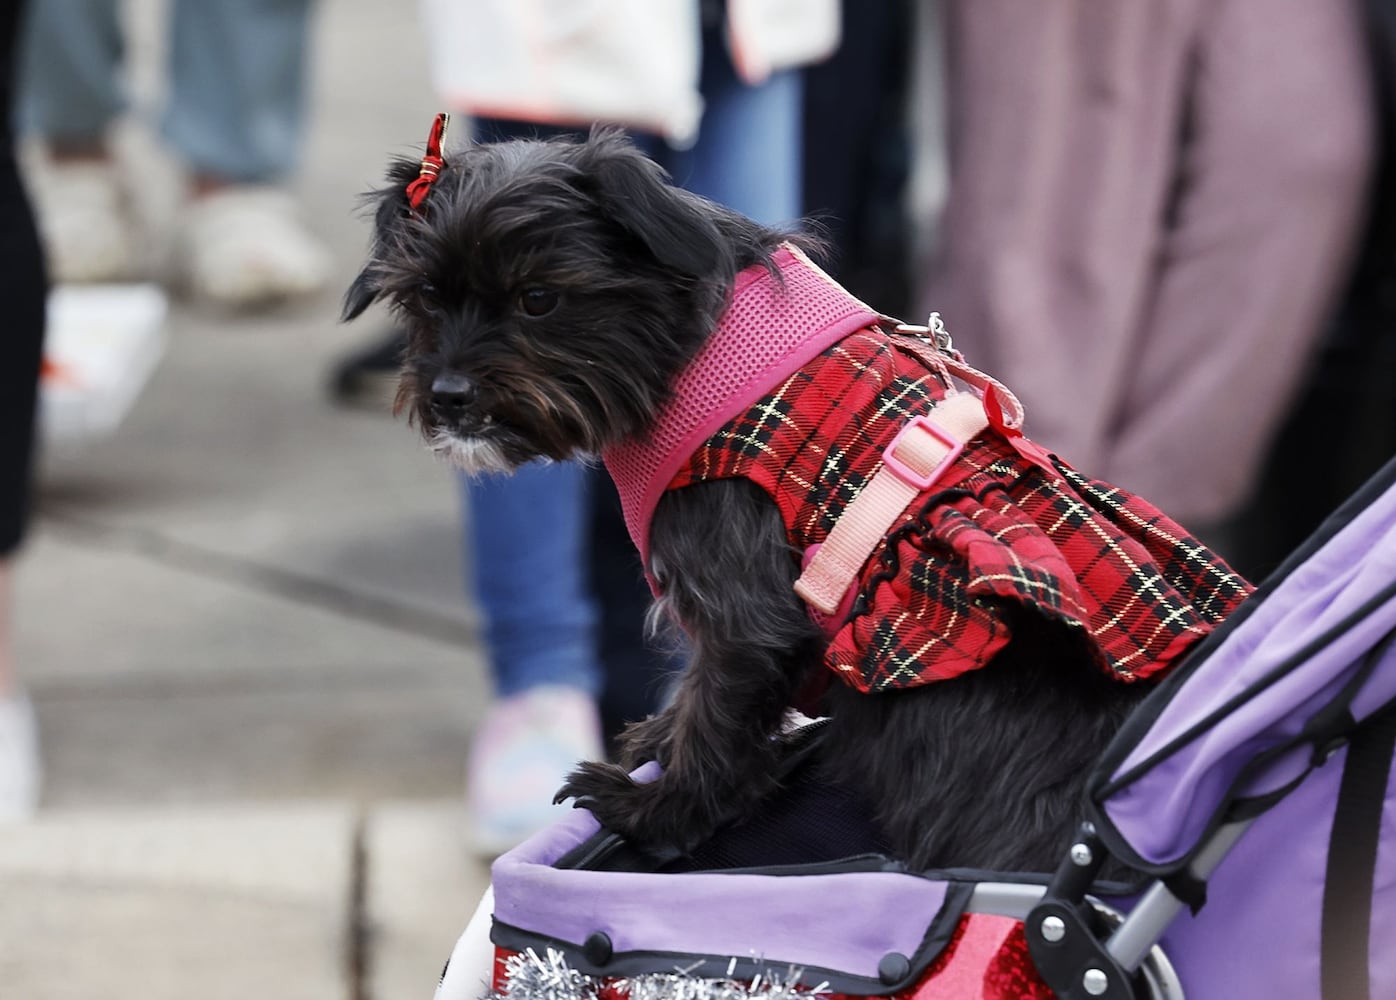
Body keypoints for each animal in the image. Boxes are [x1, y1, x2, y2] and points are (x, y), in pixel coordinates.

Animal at [343, 122, 1250, 877]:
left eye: (539, 298)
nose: (450, 394)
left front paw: (651, 812)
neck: (691, 353)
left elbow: (716, 711)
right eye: (425, 296)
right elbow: (698, 700)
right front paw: (655, 747)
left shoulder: (746, 612)